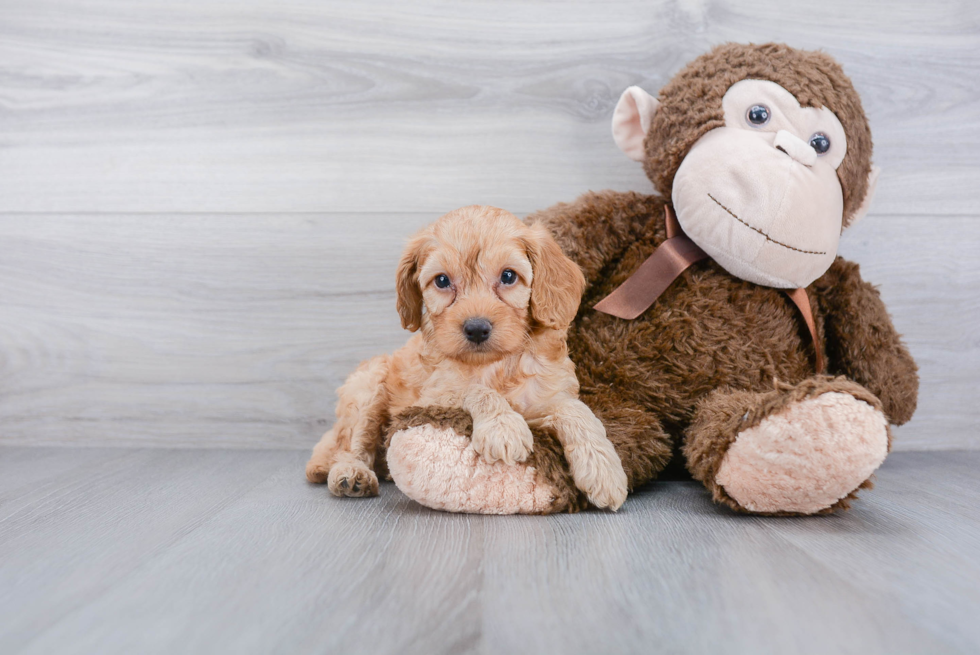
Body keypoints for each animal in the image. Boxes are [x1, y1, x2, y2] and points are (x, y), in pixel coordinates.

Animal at [304, 205, 628, 512]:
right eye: (442, 281)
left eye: (508, 276)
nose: (476, 328)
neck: (496, 365)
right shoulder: (433, 395)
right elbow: (475, 390)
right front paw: (502, 426)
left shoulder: (544, 396)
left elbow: (575, 410)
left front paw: (604, 469)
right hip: (367, 387)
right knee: (351, 443)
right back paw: (350, 473)